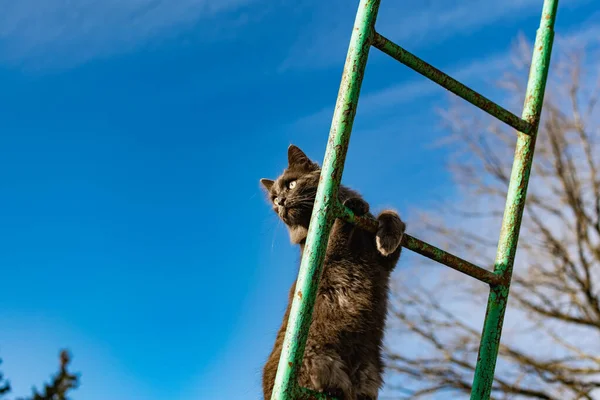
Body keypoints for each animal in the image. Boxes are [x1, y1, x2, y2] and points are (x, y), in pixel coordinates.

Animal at [260, 145, 406, 400]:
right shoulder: (321, 254)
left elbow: (389, 215)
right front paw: (354, 205)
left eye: (291, 184)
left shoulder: (383, 265)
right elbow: (338, 228)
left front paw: (388, 236)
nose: (281, 202)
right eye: (274, 199)